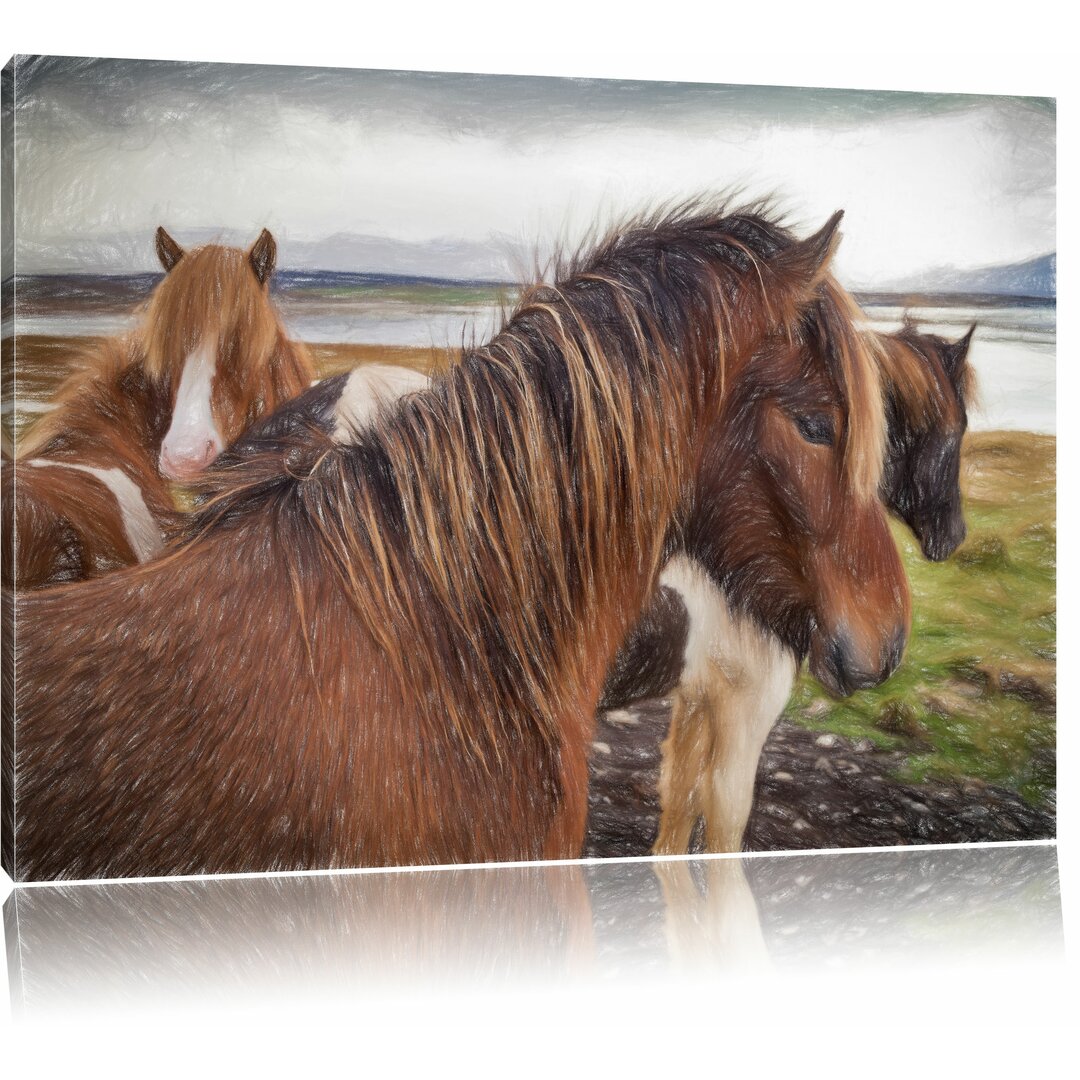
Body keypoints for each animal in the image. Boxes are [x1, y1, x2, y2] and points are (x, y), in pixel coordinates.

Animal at [600, 315, 980, 855]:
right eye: (956, 429)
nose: (954, 537)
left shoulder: (698, 693)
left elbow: (678, 804)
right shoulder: (748, 696)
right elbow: (722, 816)